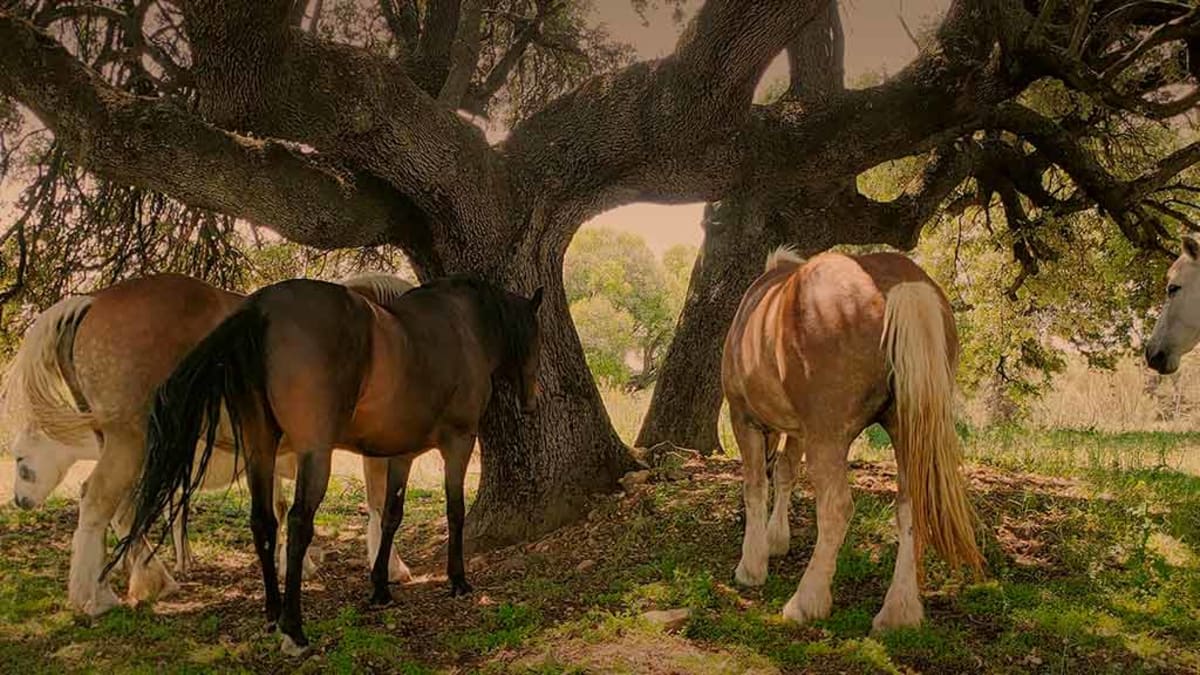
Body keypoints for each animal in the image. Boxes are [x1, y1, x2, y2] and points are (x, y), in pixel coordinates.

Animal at [1, 273, 415, 616]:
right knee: (98, 502)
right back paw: (96, 598)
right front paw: (388, 569)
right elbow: (379, 506)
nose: (19, 501)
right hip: (131, 442)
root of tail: (93, 300)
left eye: (21, 460)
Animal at [112, 275, 543, 655]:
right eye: (537, 340)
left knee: (263, 522)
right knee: (299, 523)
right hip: (316, 454)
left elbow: (391, 515)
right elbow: (455, 511)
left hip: (260, 449)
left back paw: (273, 613)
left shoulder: (401, 454)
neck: (462, 324)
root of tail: (261, 308)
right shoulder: (459, 442)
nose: (531, 401)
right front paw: (458, 580)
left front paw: (380, 588)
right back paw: (294, 629)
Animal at [722, 247, 982, 632]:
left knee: (836, 509)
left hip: (827, 438)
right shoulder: (798, 432)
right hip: (905, 432)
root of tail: (901, 284)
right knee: (909, 508)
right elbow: (784, 475)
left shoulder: (745, 420)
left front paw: (752, 567)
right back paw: (898, 611)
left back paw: (807, 600)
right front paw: (776, 539)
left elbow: (755, 487)